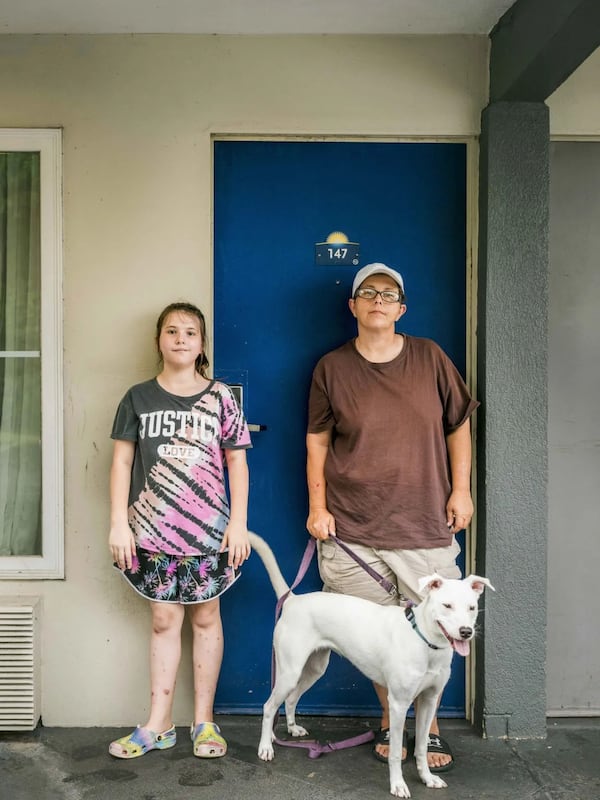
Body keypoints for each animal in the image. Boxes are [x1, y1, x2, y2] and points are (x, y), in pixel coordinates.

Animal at [247, 536, 492, 796]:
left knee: (292, 698)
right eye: (447, 606)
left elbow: (422, 748)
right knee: (269, 706)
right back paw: (266, 747)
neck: (424, 641)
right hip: (289, 671)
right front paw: (398, 785)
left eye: (472, 608)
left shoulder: (429, 700)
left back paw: (293, 729)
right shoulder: (398, 704)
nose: (466, 632)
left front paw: (427, 777)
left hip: (315, 668)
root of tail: (293, 600)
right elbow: (394, 753)